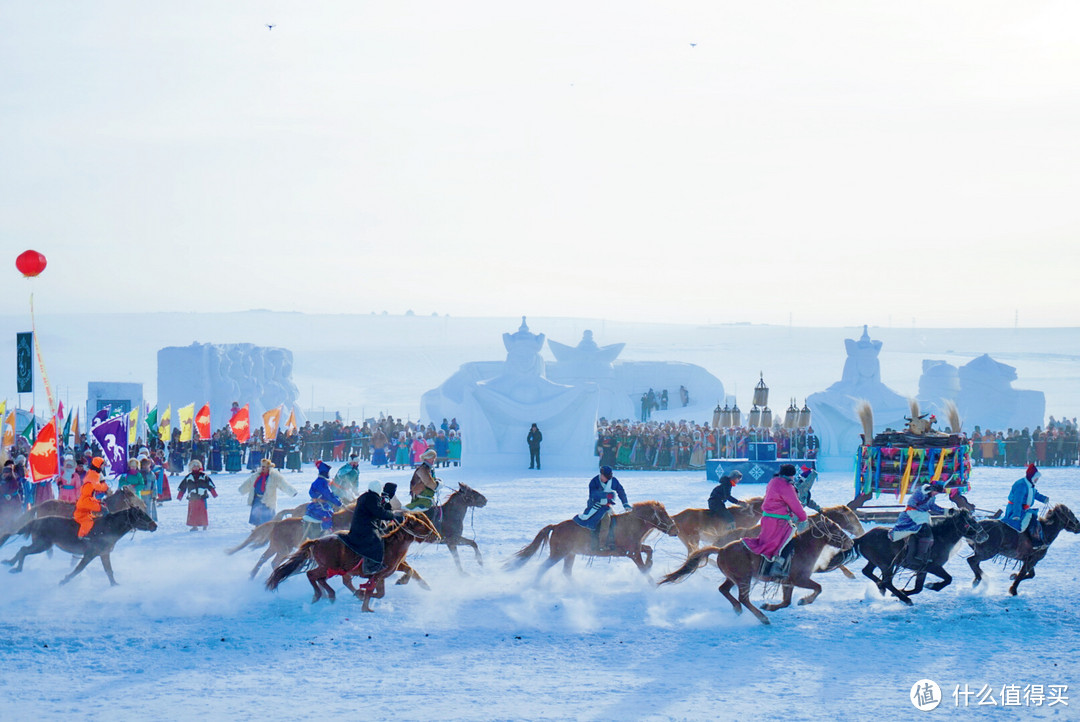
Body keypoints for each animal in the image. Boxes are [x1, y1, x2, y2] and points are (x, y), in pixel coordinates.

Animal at [0, 505, 157, 582]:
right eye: (141, 515)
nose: (154, 525)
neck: (108, 527)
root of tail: (36, 521)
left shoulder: (104, 554)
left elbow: (109, 571)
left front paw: (114, 585)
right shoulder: (90, 554)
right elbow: (78, 569)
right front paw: (64, 580)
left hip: (42, 545)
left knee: (22, 550)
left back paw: (9, 563)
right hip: (42, 545)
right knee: (23, 550)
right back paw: (16, 568)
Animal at [265, 509, 438, 612]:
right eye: (421, 524)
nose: (436, 535)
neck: (390, 546)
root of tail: (317, 541)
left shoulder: (381, 576)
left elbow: (380, 593)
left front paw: (362, 596)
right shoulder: (376, 576)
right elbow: (373, 592)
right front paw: (364, 602)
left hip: (331, 569)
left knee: (321, 579)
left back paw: (330, 595)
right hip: (327, 567)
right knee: (312, 575)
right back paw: (320, 595)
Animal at [503, 498, 673, 582]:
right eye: (662, 514)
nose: (674, 529)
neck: (631, 524)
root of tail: (556, 526)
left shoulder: (635, 548)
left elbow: (649, 550)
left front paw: (650, 564)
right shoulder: (632, 553)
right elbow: (643, 569)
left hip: (569, 554)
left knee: (566, 572)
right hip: (558, 554)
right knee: (543, 568)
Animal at [656, 515, 851, 621]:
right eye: (837, 529)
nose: (849, 542)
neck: (803, 547)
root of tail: (721, 549)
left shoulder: (787, 582)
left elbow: (786, 602)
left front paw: (769, 606)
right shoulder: (800, 579)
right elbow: (818, 588)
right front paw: (804, 600)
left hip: (733, 578)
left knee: (724, 590)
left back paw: (739, 609)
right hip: (744, 579)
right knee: (743, 598)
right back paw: (762, 618)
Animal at [851, 507, 989, 604]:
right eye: (971, 521)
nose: (985, 535)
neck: (940, 538)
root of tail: (862, 537)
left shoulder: (922, 570)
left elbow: (918, 588)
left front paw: (901, 592)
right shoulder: (933, 567)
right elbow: (948, 579)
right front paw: (932, 585)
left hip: (876, 562)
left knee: (868, 572)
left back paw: (884, 589)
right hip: (886, 565)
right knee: (887, 581)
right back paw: (904, 598)